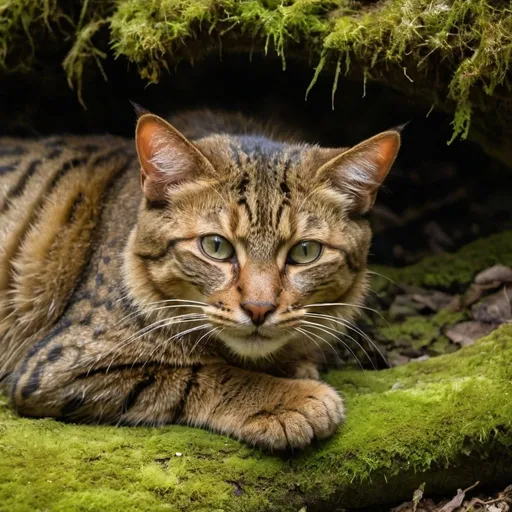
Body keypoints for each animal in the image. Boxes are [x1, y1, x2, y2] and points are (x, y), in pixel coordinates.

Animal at [0, 110, 400, 450]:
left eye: (305, 252)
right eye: (216, 246)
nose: (259, 309)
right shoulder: (57, 367)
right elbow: (200, 372)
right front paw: (287, 396)